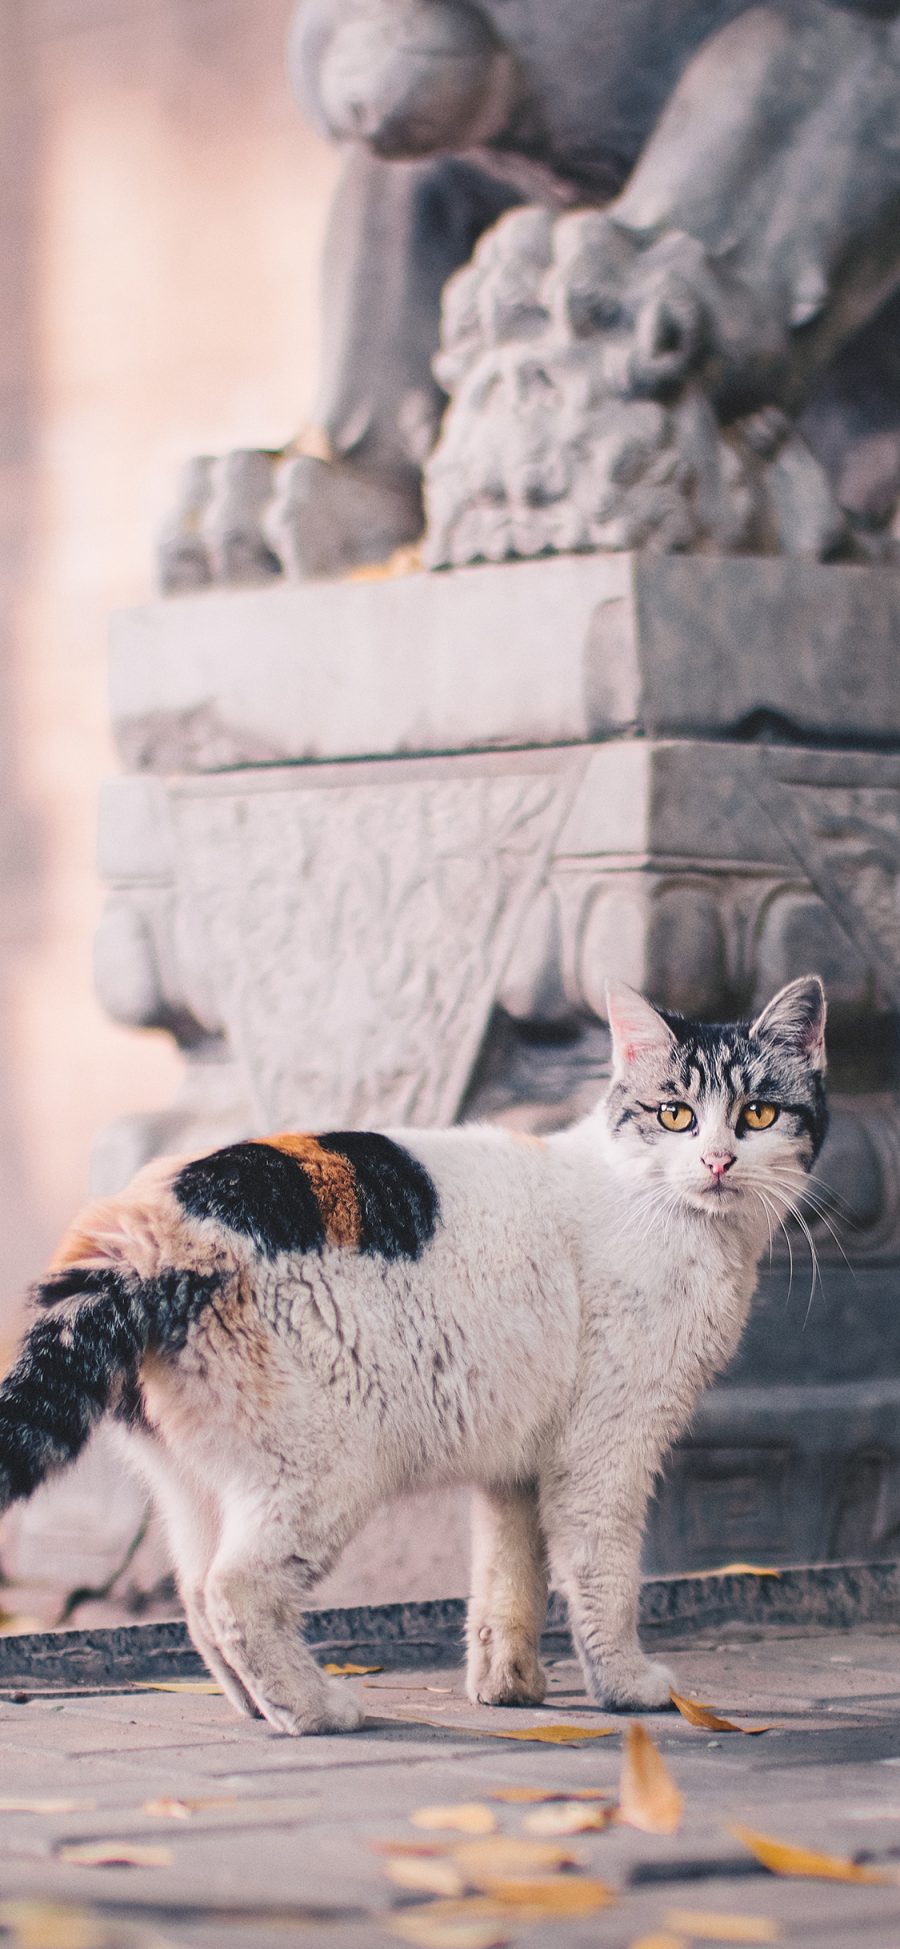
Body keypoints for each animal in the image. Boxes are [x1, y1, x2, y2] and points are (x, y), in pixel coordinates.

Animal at [0, 974, 822, 1738]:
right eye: (674, 1114)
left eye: (758, 1114)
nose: (718, 1161)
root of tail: (139, 1225)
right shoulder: (605, 1451)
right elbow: (604, 1574)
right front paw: (624, 1685)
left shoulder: (517, 1464)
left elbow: (507, 1580)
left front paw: (508, 1685)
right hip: (323, 1469)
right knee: (235, 1592)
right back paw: (313, 1709)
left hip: (196, 1482)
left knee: (197, 1596)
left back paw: (260, 1707)